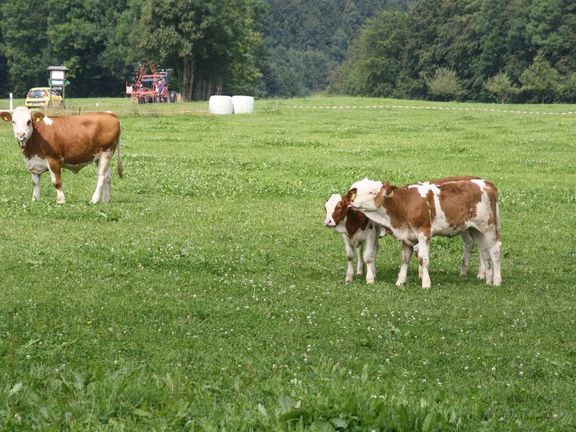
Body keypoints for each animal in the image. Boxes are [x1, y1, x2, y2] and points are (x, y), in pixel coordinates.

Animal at [346, 177, 500, 288]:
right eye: (356, 191)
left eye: (372, 192)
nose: (352, 202)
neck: (404, 204)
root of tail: (487, 183)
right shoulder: (406, 235)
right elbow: (405, 259)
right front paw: (400, 281)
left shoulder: (424, 233)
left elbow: (423, 259)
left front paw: (426, 283)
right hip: (477, 229)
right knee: (484, 251)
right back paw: (487, 279)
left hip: (489, 227)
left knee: (495, 250)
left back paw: (497, 281)